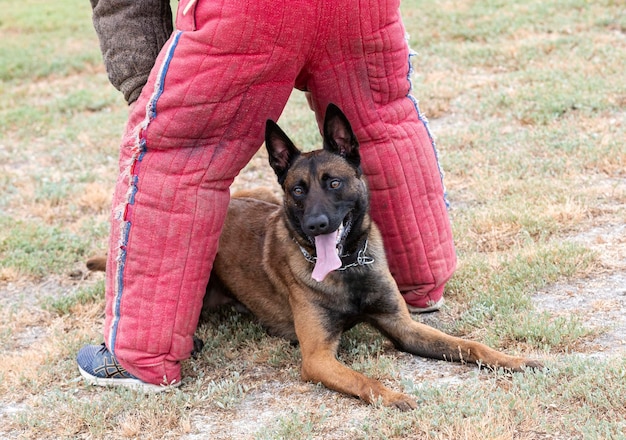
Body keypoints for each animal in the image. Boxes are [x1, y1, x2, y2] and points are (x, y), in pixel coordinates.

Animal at [85, 105, 540, 410]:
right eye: (299, 189)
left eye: (334, 182)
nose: (318, 224)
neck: (349, 270)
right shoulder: (318, 358)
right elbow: (364, 380)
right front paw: (392, 395)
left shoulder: (403, 326)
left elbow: (468, 346)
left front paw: (513, 359)